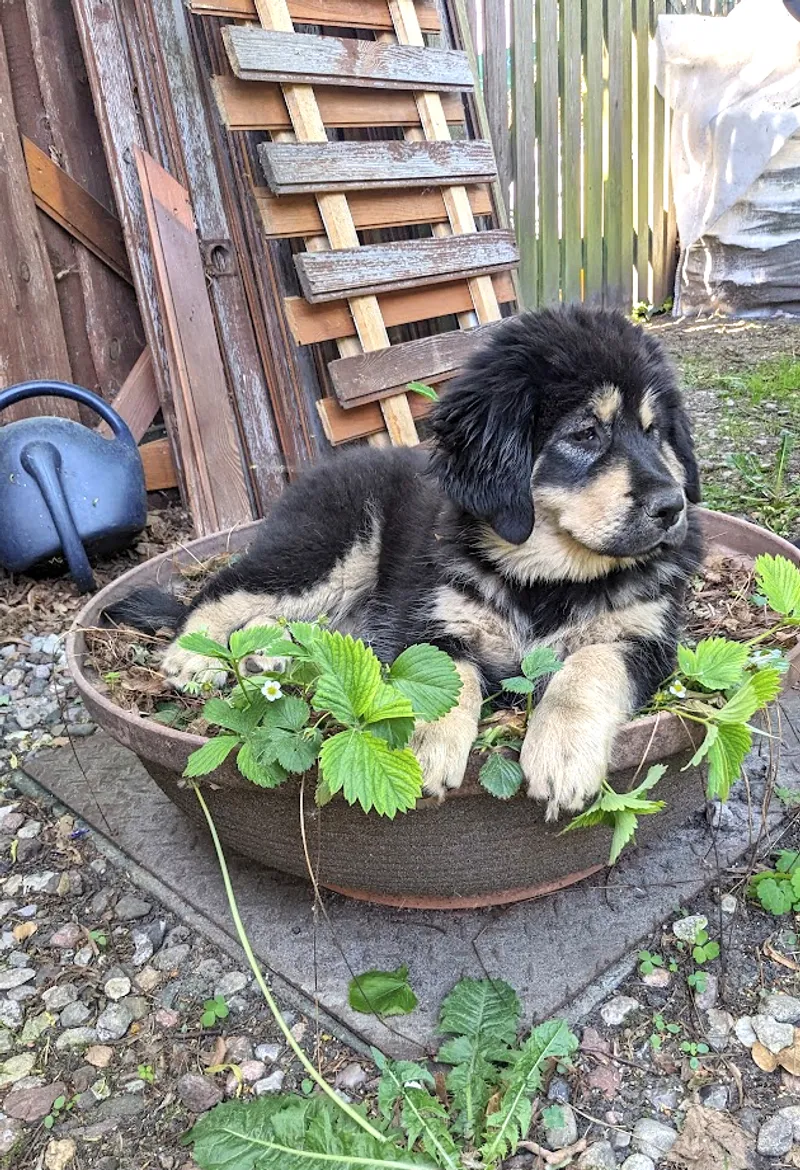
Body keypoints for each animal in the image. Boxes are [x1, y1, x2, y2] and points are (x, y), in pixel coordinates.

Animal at [106, 307, 703, 820]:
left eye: (654, 431)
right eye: (585, 433)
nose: (673, 506)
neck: (547, 579)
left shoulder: (646, 638)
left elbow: (590, 665)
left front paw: (561, 751)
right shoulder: (426, 618)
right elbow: (445, 675)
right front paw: (427, 748)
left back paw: (263, 659)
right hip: (329, 549)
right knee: (225, 589)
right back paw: (193, 655)